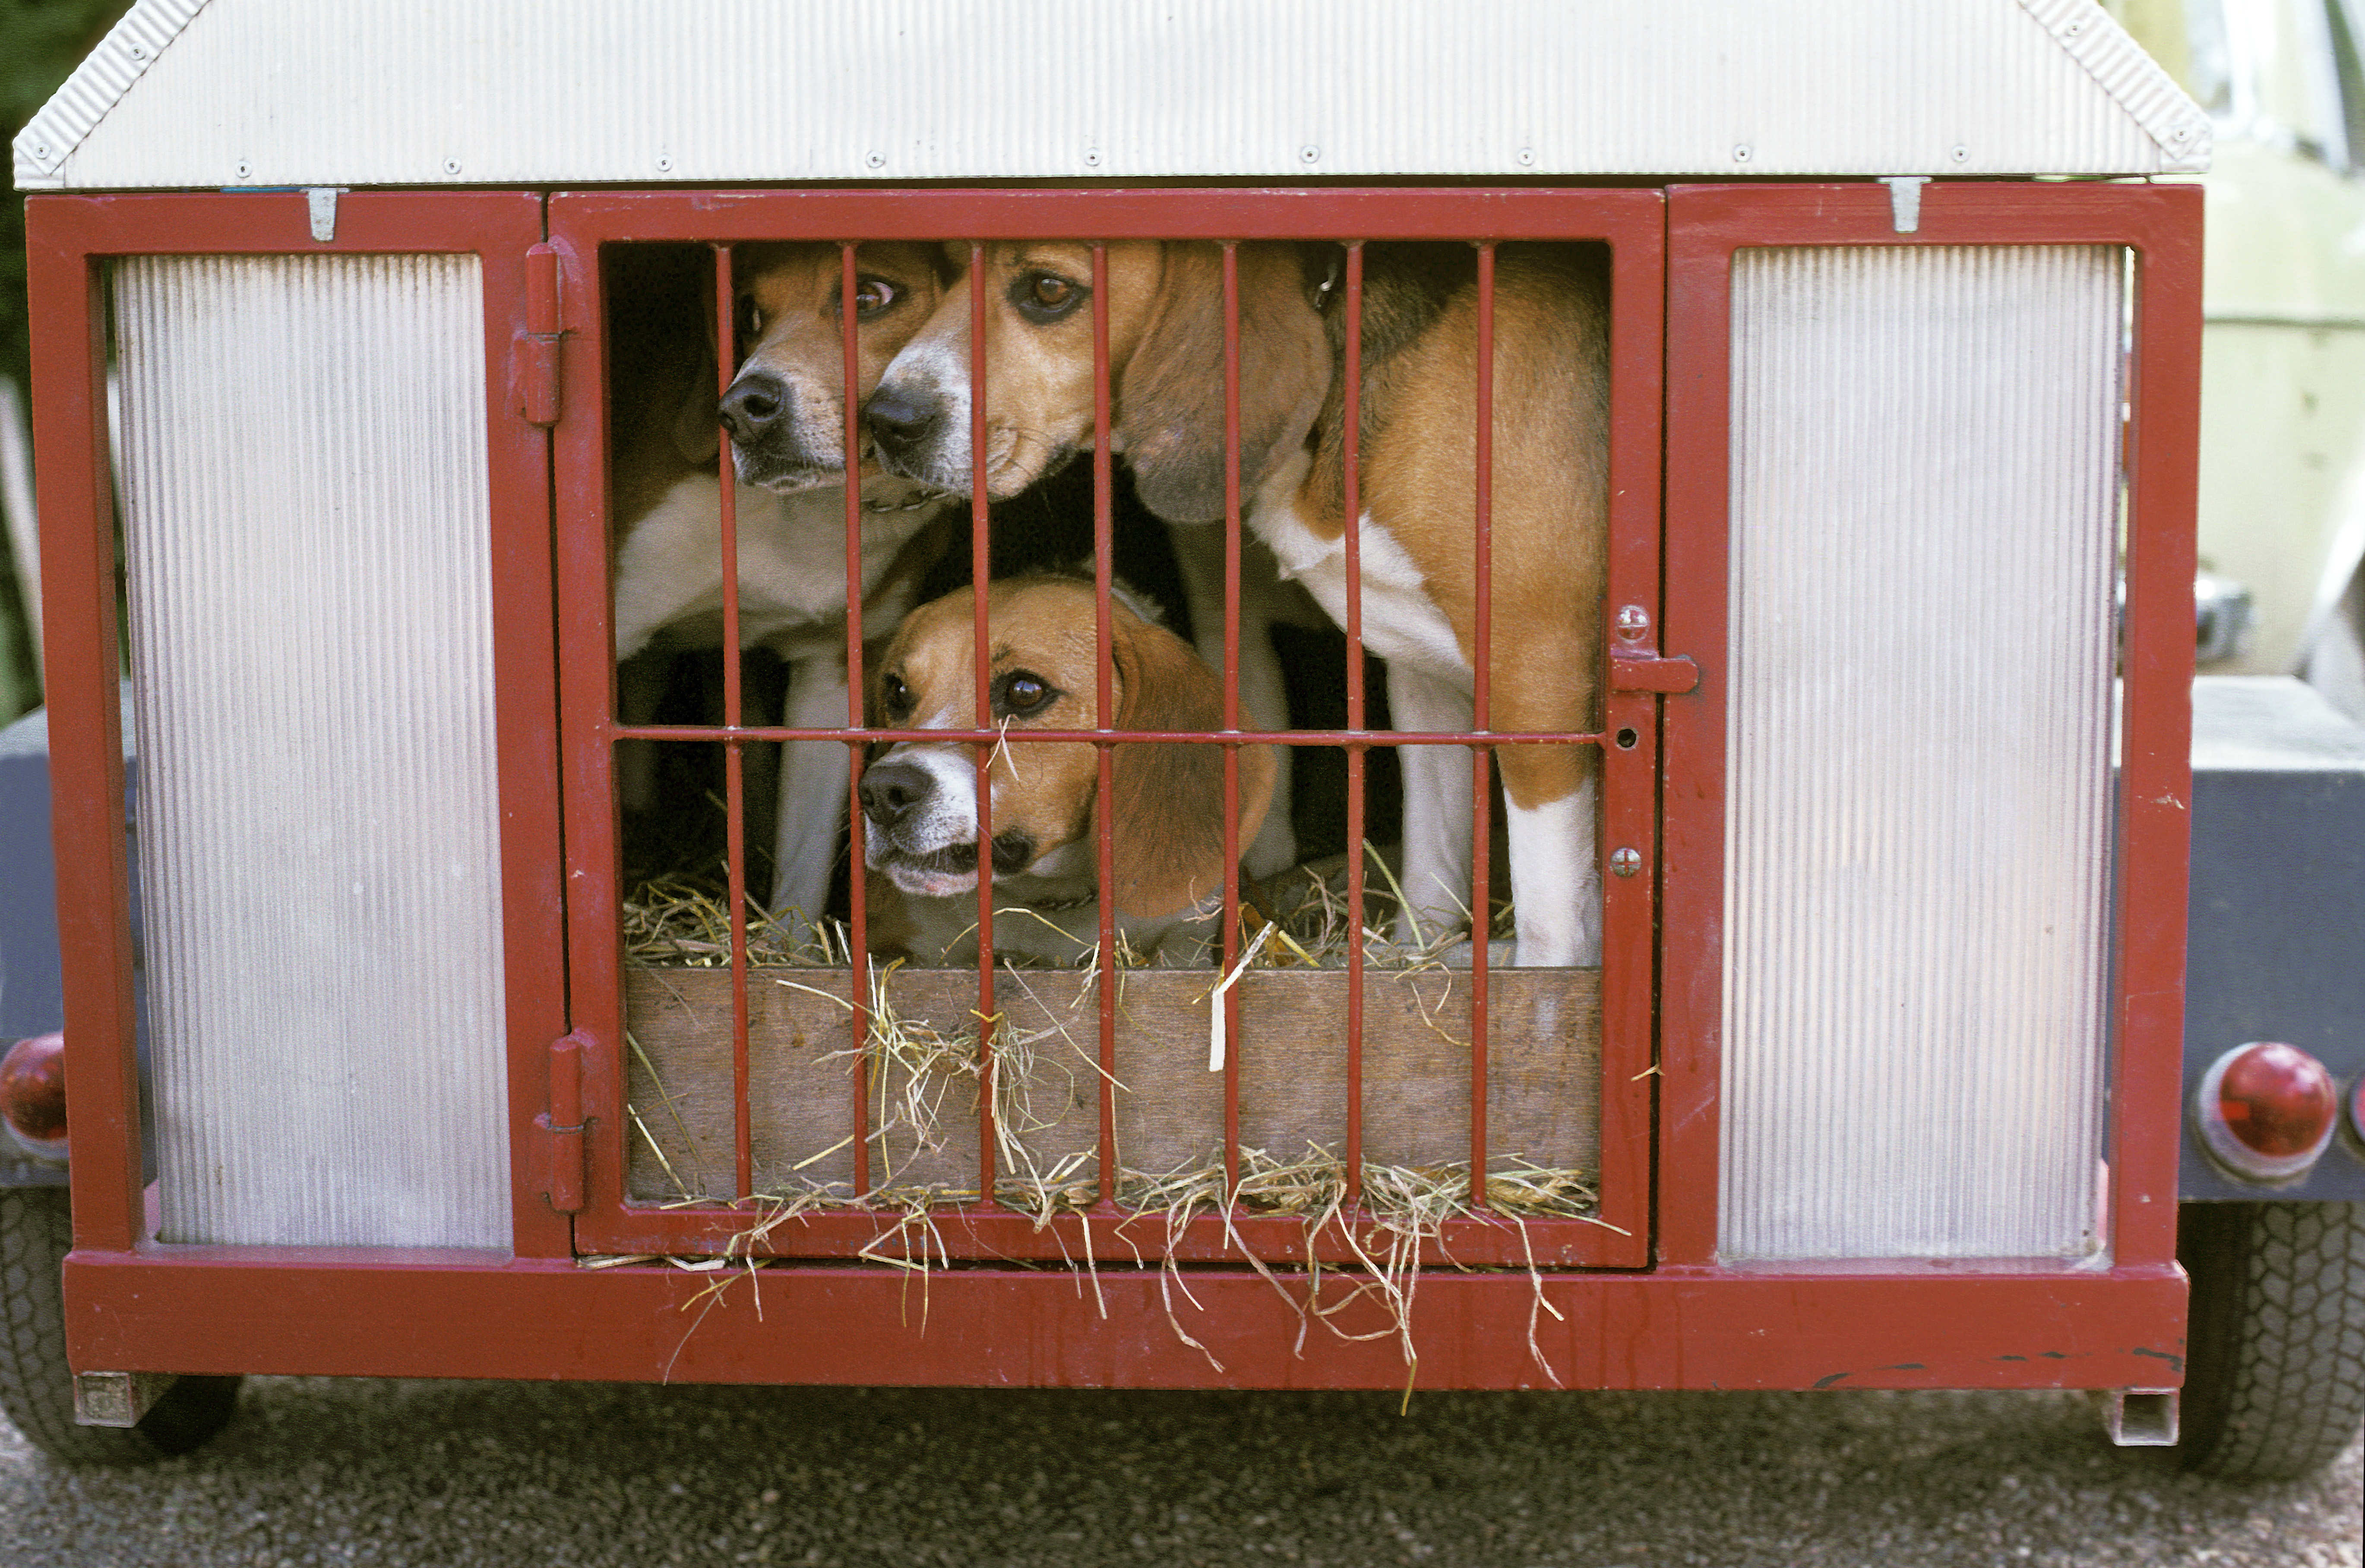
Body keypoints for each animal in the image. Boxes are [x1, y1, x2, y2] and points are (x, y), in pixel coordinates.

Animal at [620, 241, 969, 927]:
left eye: (869, 295)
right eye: (748, 312)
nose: (741, 409)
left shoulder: (832, 679)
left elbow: (802, 868)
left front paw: (786, 946)